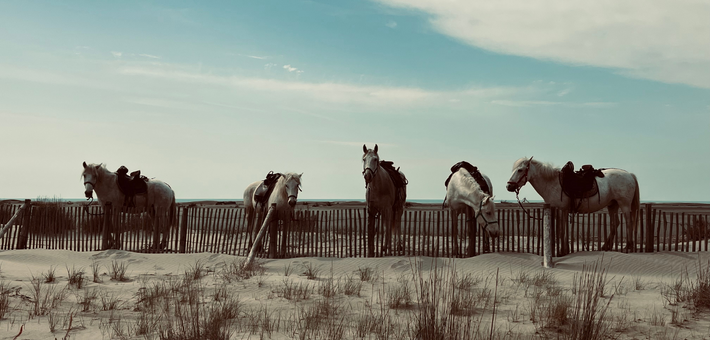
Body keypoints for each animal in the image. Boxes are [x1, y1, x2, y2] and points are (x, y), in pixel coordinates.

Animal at [506, 155, 640, 254]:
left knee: (628, 222)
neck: (553, 183)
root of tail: (629, 174)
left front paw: (561, 251)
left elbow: (561, 231)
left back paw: (627, 247)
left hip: (624, 204)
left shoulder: (562, 209)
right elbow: (562, 230)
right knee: (615, 223)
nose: (508, 186)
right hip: (613, 205)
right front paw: (564, 250)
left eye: (520, 170)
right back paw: (606, 246)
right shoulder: (561, 211)